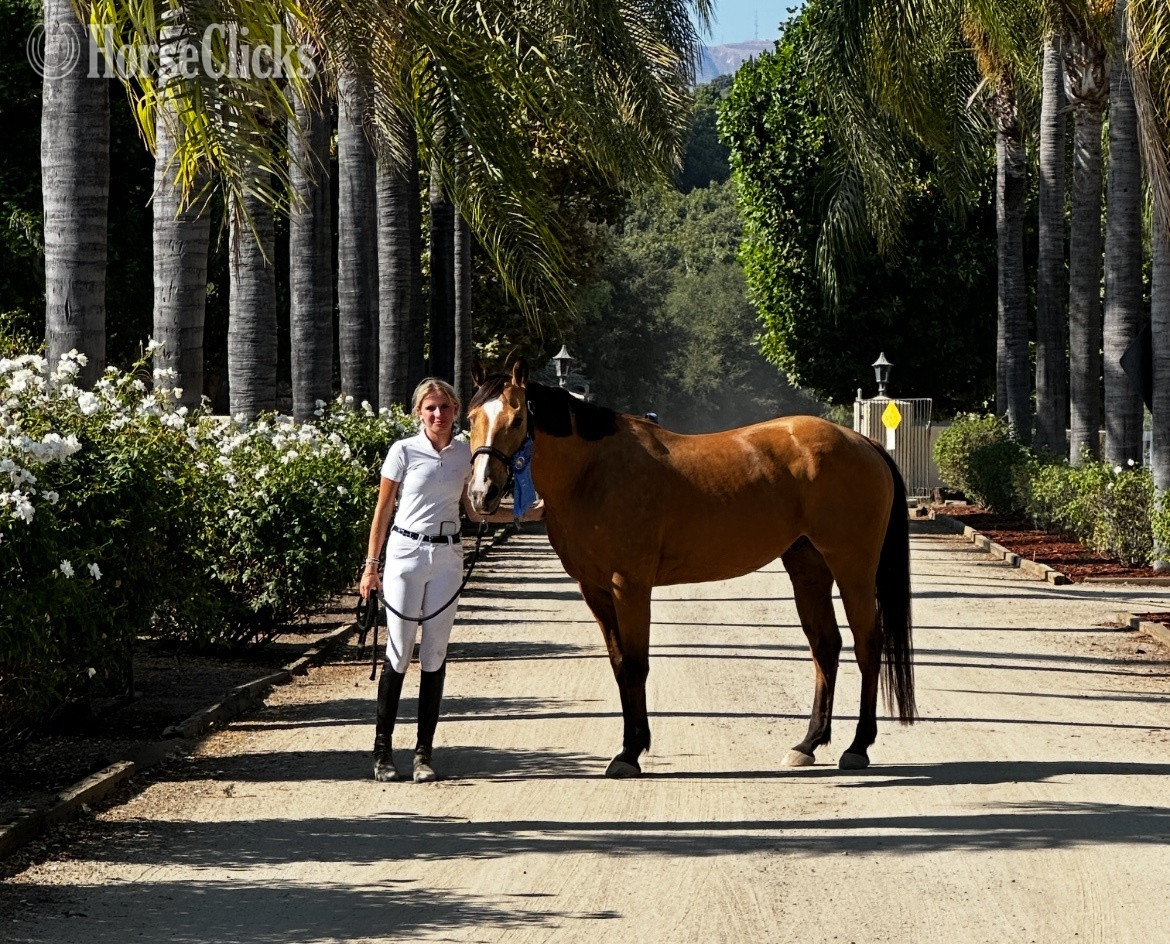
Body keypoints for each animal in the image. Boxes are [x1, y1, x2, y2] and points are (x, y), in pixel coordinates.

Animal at [467, 360, 916, 778]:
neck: (594, 472)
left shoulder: (629, 586)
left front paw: (629, 753)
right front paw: (631, 745)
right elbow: (619, 665)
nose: (481, 493)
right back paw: (807, 745)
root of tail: (862, 441)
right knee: (825, 646)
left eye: (517, 418)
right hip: (808, 567)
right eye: (472, 418)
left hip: (853, 567)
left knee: (867, 645)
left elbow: (636, 664)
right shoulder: (593, 590)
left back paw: (858, 747)